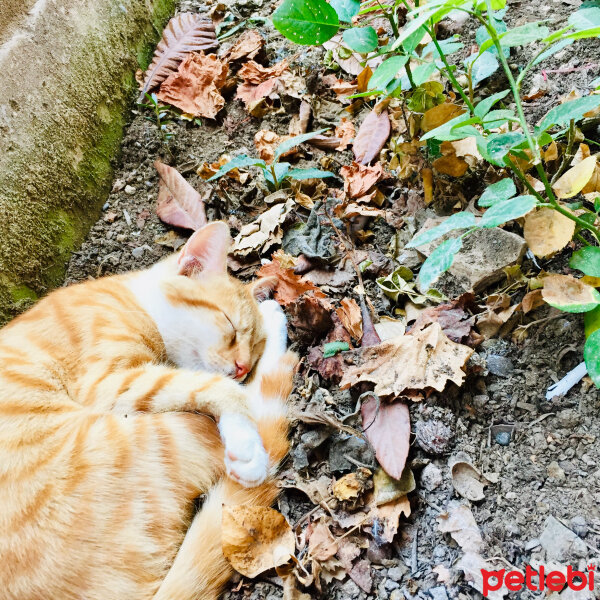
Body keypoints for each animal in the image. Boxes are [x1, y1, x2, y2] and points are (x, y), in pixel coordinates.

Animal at [0, 223, 298, 600]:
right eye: (231, 327)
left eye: (253, 346)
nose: (244, 366)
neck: (139, 300)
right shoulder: (106, 382)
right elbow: (216, 388)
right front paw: (244, 442)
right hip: (160, 434)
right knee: (261, 421)